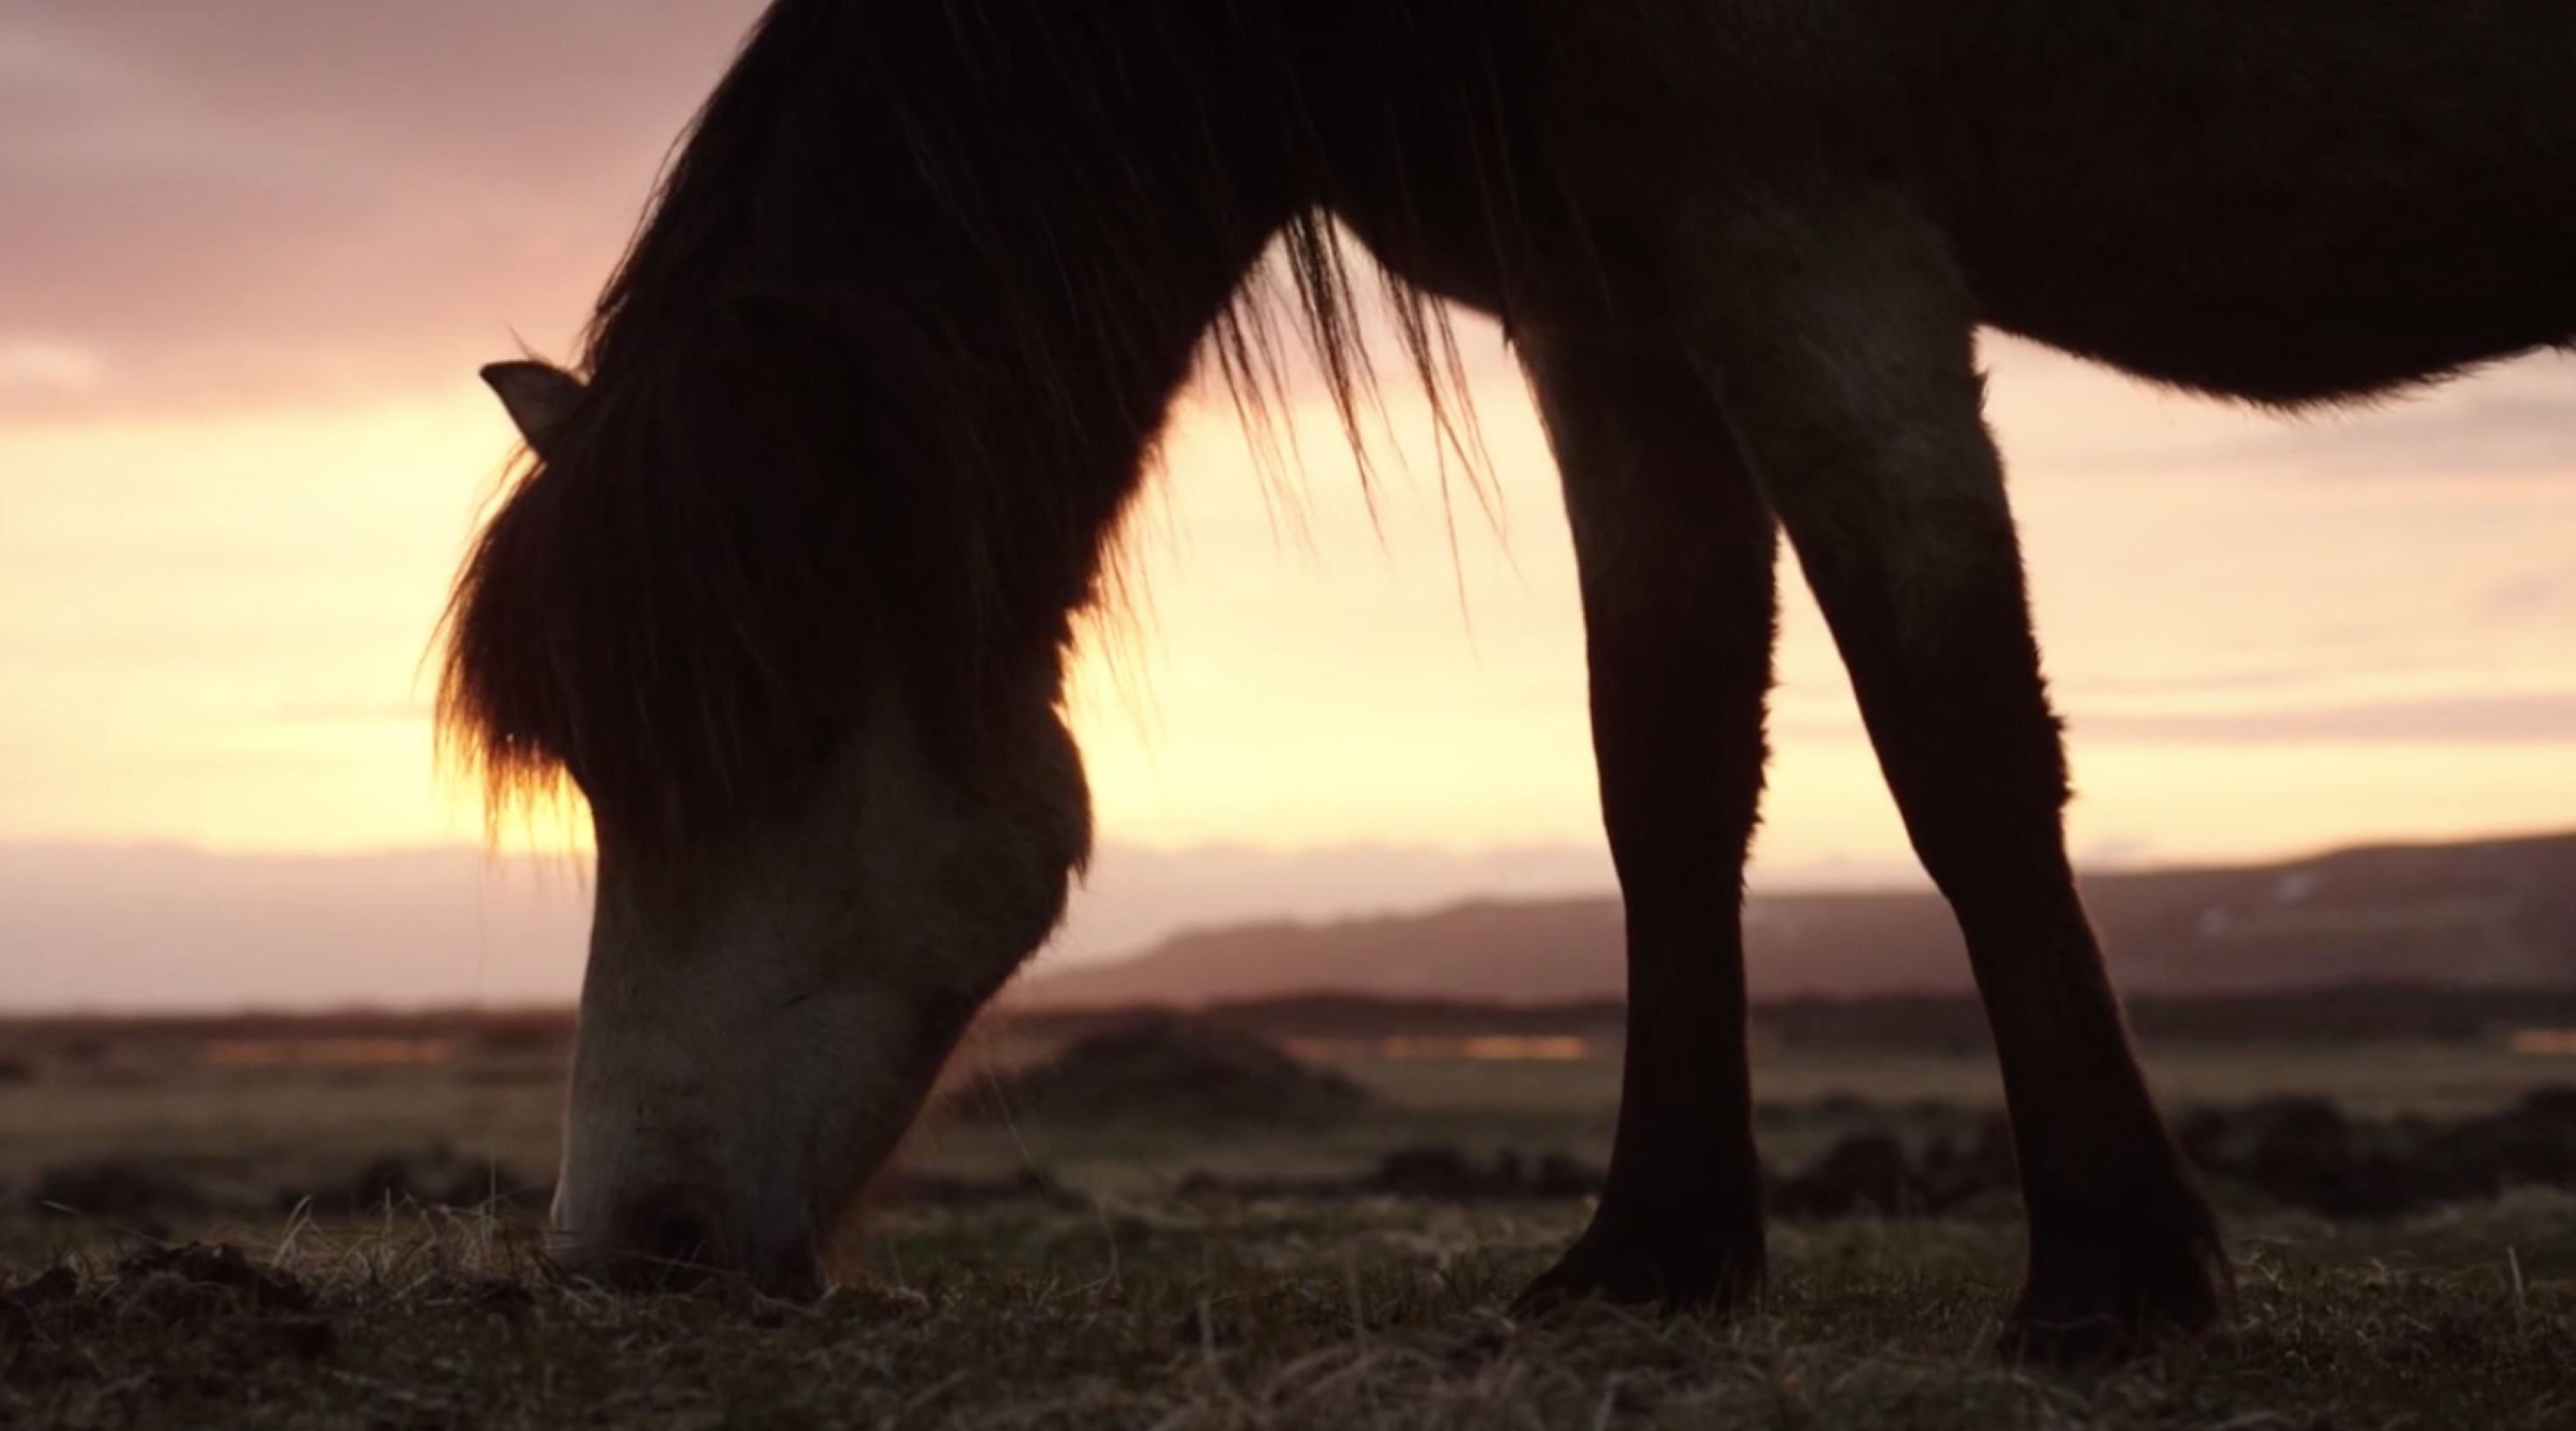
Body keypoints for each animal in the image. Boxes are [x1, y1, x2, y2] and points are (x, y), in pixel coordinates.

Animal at [443, 0, 2576, 1361]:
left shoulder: (1819, 252)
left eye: (772, 726)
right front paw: (1654, 1254)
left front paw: (2110, 1281)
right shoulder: (1614, 321)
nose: (624, 1250)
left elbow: (1958, 752)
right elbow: (1666, 773)